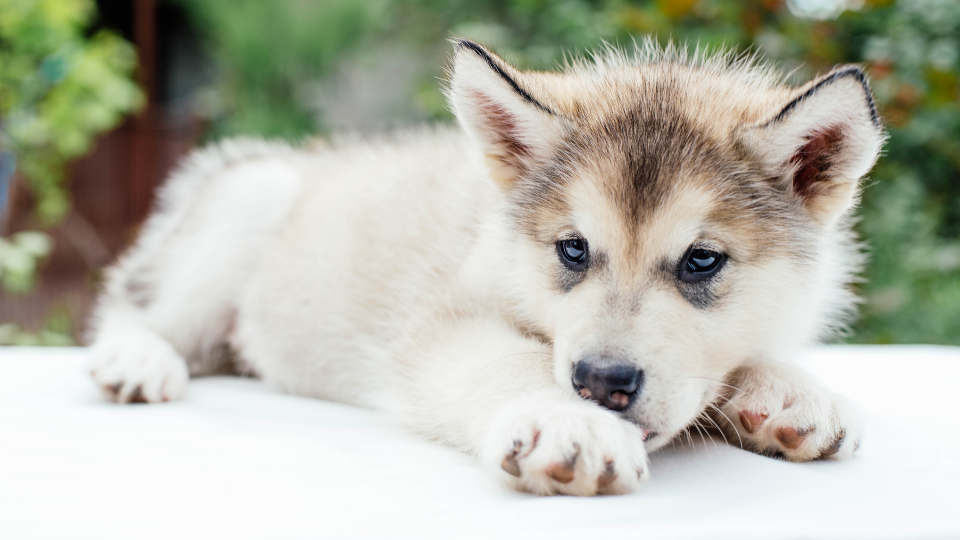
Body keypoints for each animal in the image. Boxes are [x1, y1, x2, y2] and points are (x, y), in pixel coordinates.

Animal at [88, 38, 884, 496]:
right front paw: (564, 419)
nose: (601, 383)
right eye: (572, 250)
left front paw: (789, 391)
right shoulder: (440, 326)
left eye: (702, 260)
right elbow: (511, 362)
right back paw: (137, 359)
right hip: (248, 205)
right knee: (133, 307)